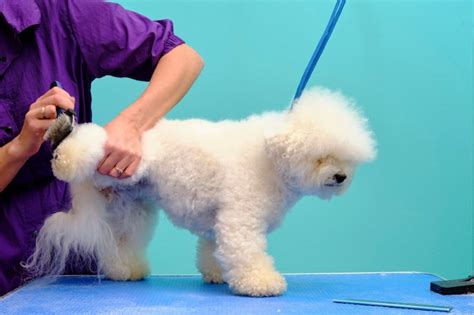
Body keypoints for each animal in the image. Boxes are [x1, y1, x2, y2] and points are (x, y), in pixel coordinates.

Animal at [25, 87, 376, 298]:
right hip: (101, 160)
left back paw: (125, 270)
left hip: (128, 206)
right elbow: (246, 253)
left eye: (346, 158)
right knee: (80, 143)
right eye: (320, 156)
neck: (270, 156)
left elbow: (213, 249)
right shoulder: (241, 219)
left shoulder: (218, 221)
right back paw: (63, 148)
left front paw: (217, 274)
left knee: (122, 242)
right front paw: (261, 283)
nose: (341, 176)